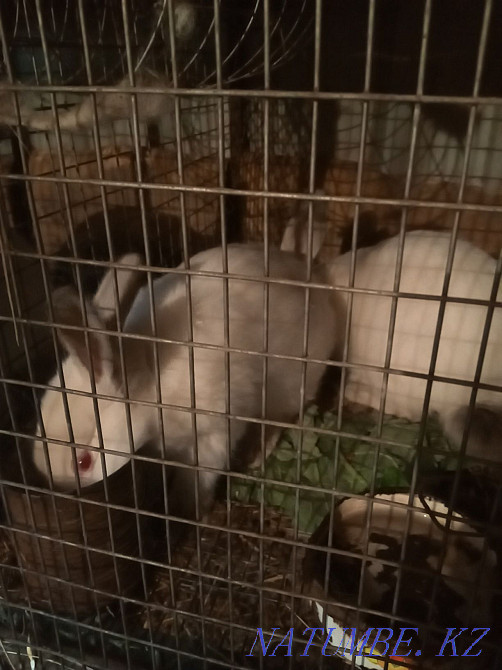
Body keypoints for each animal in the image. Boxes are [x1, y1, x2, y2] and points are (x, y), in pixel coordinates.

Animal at [32, 243, 338, 517]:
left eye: (83, 462)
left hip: (291, 385)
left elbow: (200, 476)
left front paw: (189, 509)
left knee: (281, 416)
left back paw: (256, 452)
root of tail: (319, 283)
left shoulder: (213, 434)